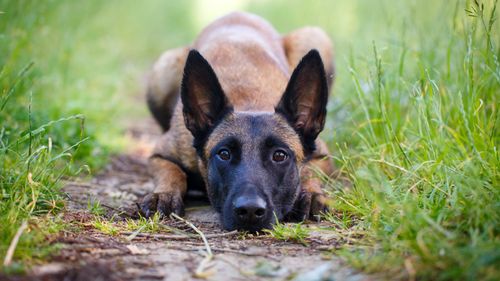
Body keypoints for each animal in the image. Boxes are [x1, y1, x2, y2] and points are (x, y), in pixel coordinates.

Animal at [141, 10, 334, 231]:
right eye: (224, 154)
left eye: (279, 155)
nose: (250, 210)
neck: (250, 104)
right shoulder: (159, 155)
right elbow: (172, 172)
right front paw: (164, 193)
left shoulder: (322, 155)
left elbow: (311, 172)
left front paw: (310, 193)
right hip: (163, 71)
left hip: (315, 36)